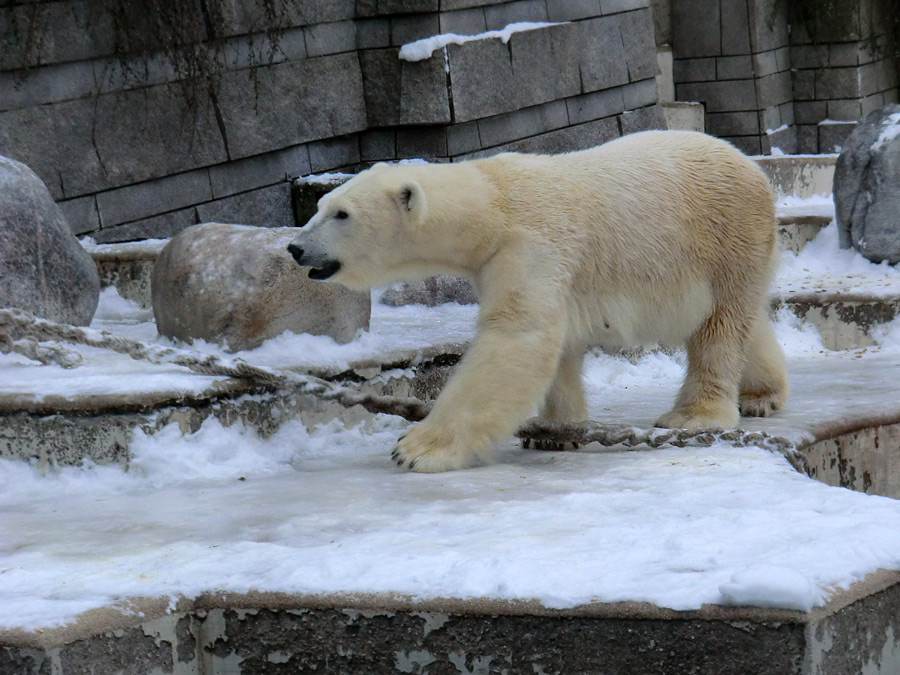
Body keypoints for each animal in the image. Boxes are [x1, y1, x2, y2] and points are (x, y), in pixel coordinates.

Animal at [288, 129, 788, 472]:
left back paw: (694, 415)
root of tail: (754, 168)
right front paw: (554, 433)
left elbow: (515, 336)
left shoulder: (531, 243)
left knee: (719, 327)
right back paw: (762, 394)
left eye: (342, 214)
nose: (295, 248)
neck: (493, 202)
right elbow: (556, 343)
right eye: (322, 205)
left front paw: (417, 448)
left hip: (724, 238)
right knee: (746, 322)